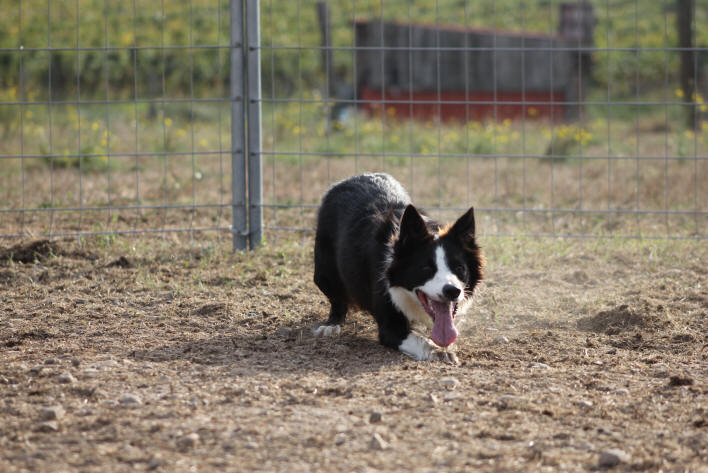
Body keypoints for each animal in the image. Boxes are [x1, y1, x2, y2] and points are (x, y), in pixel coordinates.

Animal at [314, 173, 484, 362]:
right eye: (425, 268)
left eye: (459, 267)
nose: (452, 291)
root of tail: (348, 180)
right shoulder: (389, 323)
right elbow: (419, 340)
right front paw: (439, 351)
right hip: (324, 272)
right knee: (337, 298)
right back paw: (331, 325)